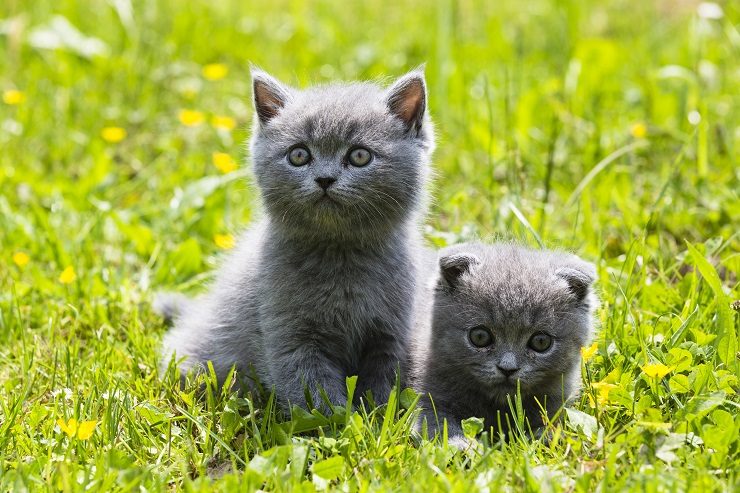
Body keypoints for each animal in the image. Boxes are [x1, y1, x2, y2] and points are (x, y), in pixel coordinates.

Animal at [158, 67, 434, 410]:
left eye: (359, 156)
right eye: (299, 155)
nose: (325, 179)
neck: (340, 256)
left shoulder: (391, 334)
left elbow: (384, 383)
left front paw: (377, 414)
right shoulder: (290, 334)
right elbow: (311, 387)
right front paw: (337, 419)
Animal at [408, 244, 600, 444]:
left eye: (541, 341)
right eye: (480, 336)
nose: (507, 368)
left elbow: (550, 426)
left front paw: (542, 438)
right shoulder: (430, 397)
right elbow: (438, 425)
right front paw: (462, 445)